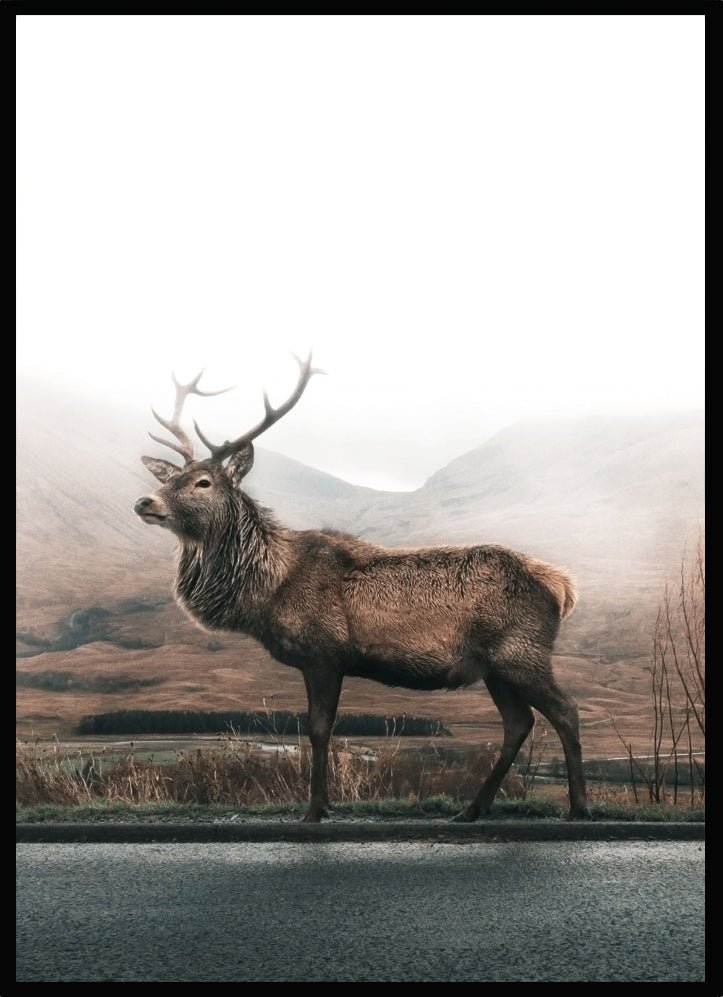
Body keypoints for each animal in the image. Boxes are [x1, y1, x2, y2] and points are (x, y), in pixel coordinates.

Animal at [134, 354, 588, 823]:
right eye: (169, 479)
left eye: (203, 482)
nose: (146, 502)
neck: (267, 591)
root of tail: (561, 587)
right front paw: (325, 803)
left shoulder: (325, 653)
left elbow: (319, 730)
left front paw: (315, 809)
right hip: (494, 666)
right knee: (519, 723)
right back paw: (471, 809)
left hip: (522, 652)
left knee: (566, 711)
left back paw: (579, 806)